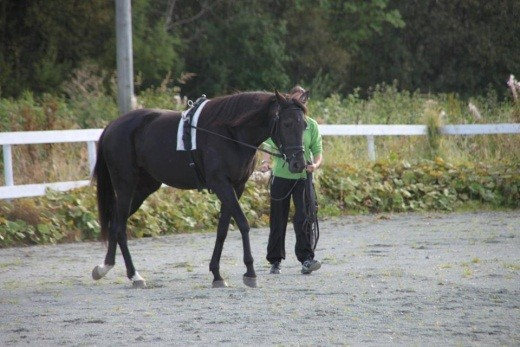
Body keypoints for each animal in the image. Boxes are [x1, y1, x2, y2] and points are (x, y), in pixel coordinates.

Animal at [92, 89, 308, 288]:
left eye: (304, 125)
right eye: (287, 124)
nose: (299, 164)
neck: (230, 133)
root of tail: (112, 126)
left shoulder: (236, 186)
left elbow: (222, 230)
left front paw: (217, 274)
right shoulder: (221, 184)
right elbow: (243, 223)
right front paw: (250, 272)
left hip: (143, 188)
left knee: (115, 224)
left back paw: (105, 267)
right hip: (125, 185)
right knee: (120, 226)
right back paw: (134, 275)